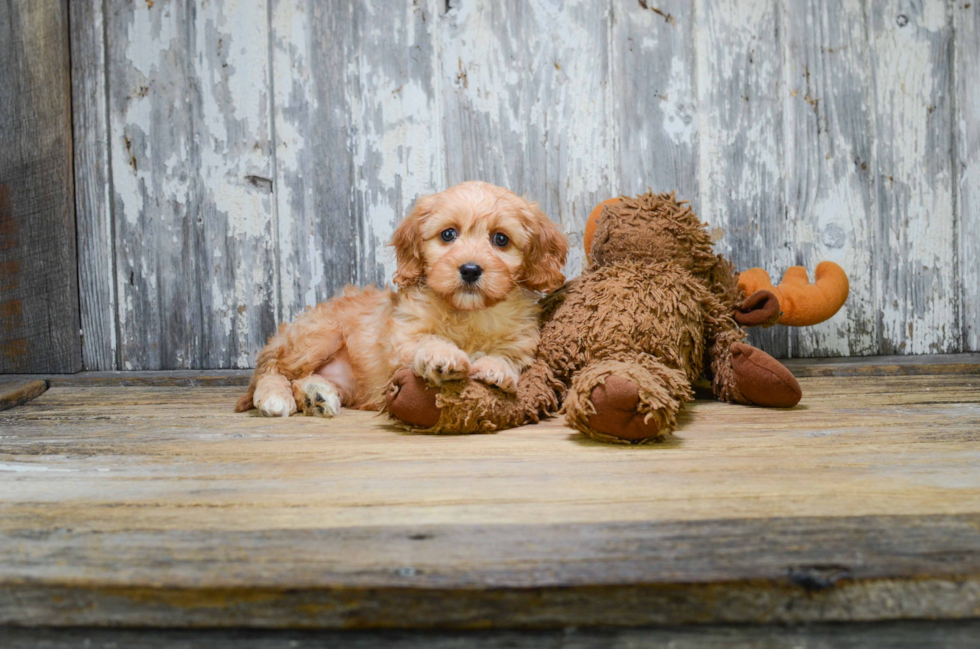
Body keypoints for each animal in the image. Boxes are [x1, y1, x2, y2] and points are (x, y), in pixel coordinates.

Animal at [234, 180, 568, 418]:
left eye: (501, 239)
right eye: (448, 234)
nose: (470, 269)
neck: (468, 312)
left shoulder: (522, 343)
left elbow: (508, 356)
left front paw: (496, 369)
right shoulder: (403, 336)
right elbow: (428, 340)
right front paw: (443, 358)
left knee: (302, 379)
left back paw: (315, 396)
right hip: (316, 338)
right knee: (271, 369)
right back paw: (275, 397)